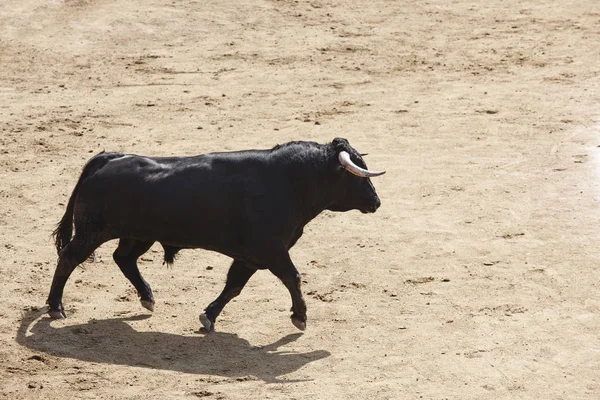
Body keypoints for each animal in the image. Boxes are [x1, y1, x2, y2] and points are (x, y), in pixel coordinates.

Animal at [45, 138, 384, 332]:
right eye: (357, 174)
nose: (376, 202)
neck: (289, 182)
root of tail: (108, 158)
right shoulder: (271, 250)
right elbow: (293, 277)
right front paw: (300, 317)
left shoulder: (250, 256)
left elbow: (233, 286)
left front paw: (209, 316)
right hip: (92, 232)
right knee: (69, 258)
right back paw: (56, 307)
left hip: (139, 234)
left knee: (123, 258)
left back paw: (147, 298)